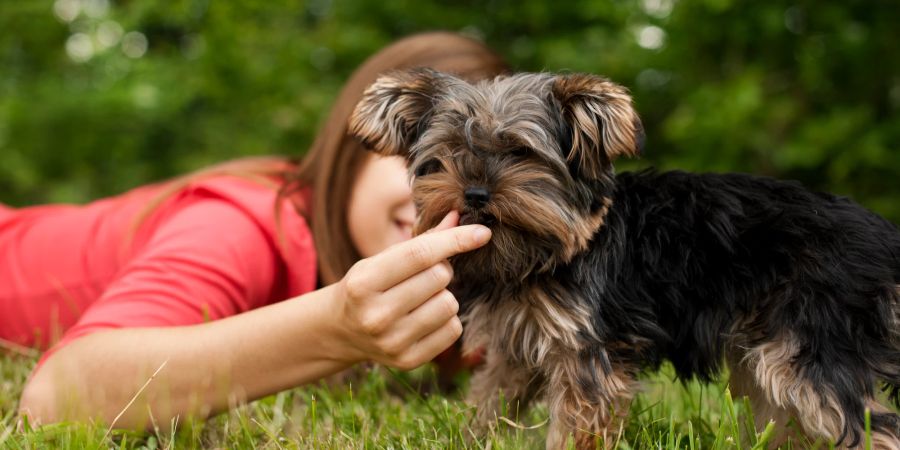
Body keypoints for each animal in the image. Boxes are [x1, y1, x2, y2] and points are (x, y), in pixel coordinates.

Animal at [350, 68, 900, 448]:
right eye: (446, 154)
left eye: (521, 153)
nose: (475, 193)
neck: (547, 252)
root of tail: (884, 238)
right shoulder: (514, 345)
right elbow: (492, 399)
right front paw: (472, 437)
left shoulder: (586, 348)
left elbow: (577, 421)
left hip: (813, 337)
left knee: (866, 423)